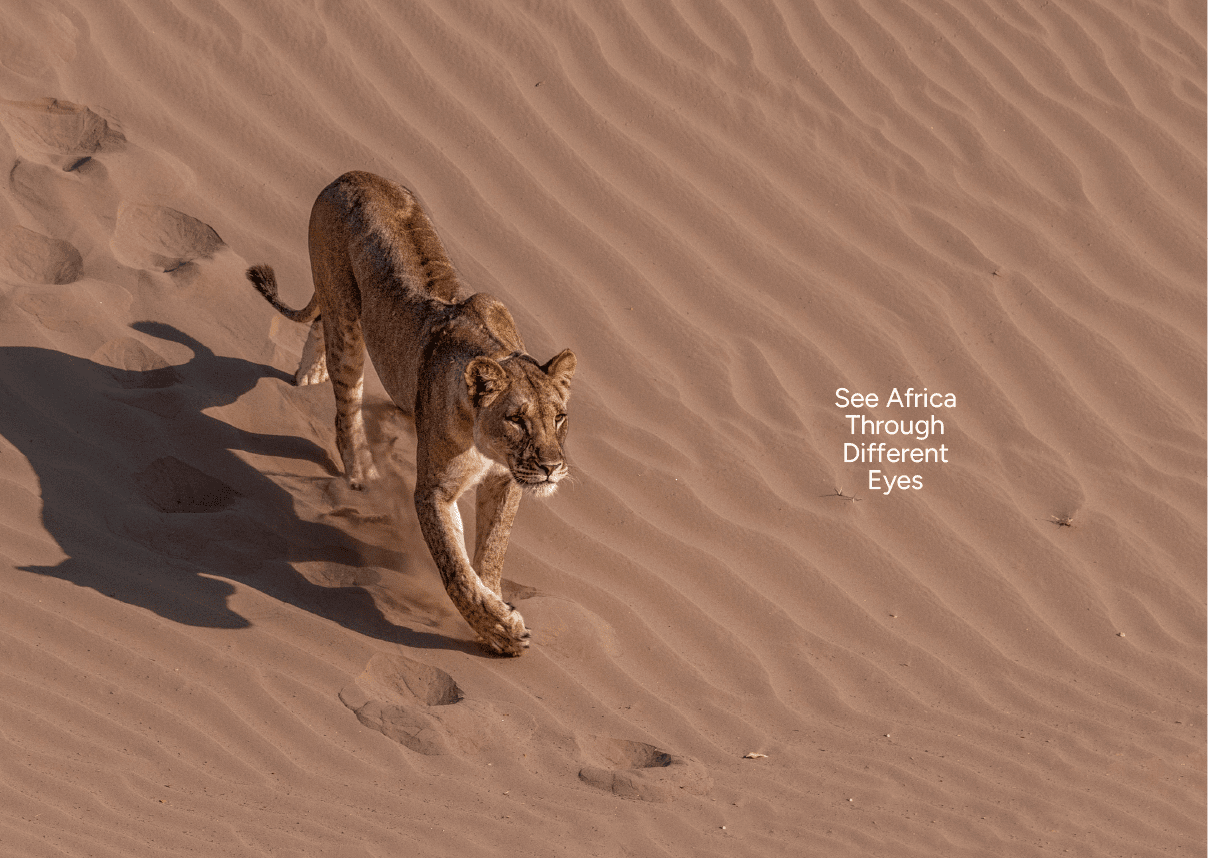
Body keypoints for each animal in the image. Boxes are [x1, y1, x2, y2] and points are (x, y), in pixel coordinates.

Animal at [246, 171, 575, 656]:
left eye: (559, 418)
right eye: (517, 419)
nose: (552, 467)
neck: (486, 445)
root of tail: (348, 175)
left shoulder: (504, 481)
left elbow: (491, 552)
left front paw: (496, 601)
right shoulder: (435, 490)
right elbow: (454, 567)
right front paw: (501, 628)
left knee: (318, 324)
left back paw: (310, 375)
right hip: (349, 323)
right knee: (346, 407)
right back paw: (361, 469)